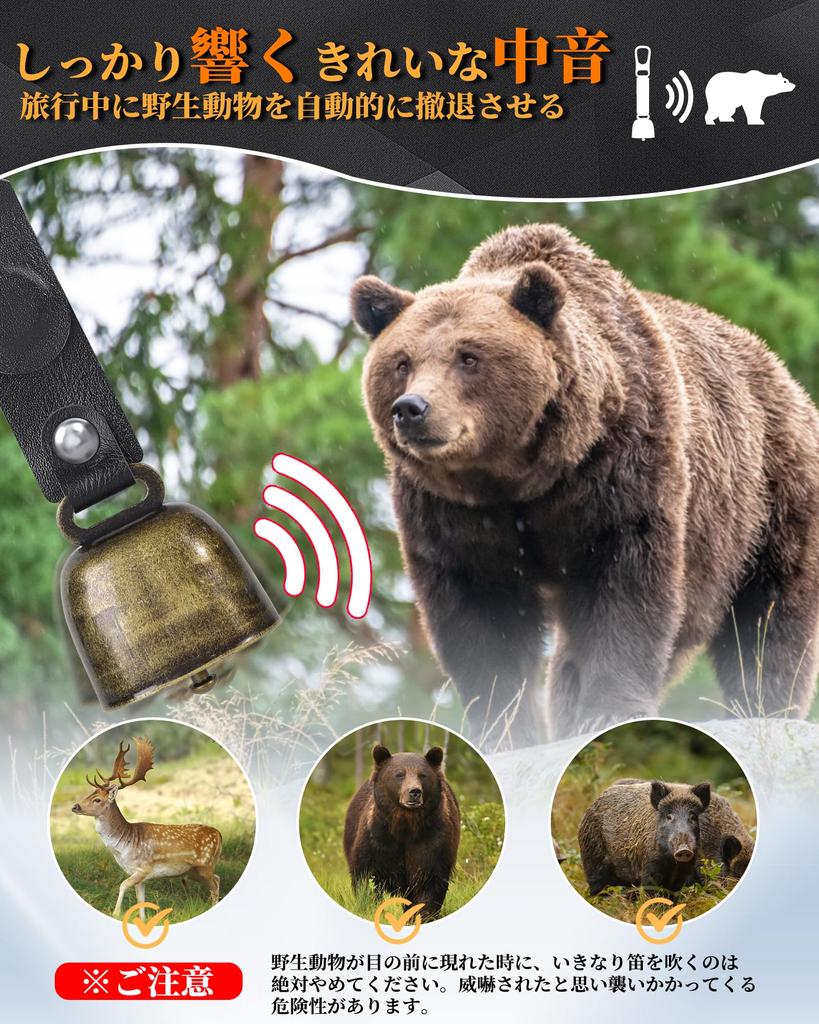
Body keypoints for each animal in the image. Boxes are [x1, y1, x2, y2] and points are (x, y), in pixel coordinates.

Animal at [343, 744, 460, 919]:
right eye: (399, 774)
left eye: (422, 775)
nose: (414, 791)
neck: (406, 826)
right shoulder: (377, 839)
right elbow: (366, 878)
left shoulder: (433, 839)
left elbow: (430, 881)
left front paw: (423, 916)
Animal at [351, 223, 819, 744]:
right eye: (402, 362)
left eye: (468, 356)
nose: (412, 409)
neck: (520, 477)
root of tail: (781, 371)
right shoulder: (451, 511)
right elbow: (480, 612)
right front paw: (506, 726)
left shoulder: (621, 470)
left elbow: (625, 589)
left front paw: (609, 708)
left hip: (765, 499)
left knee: (769, 613)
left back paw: (764, 706)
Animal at [579, 780, 711, 893]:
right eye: (669, 816)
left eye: (693, 817)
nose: (684, 849)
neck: (672, 864)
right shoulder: (649, 868)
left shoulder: (683, 873)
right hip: (592, 860)